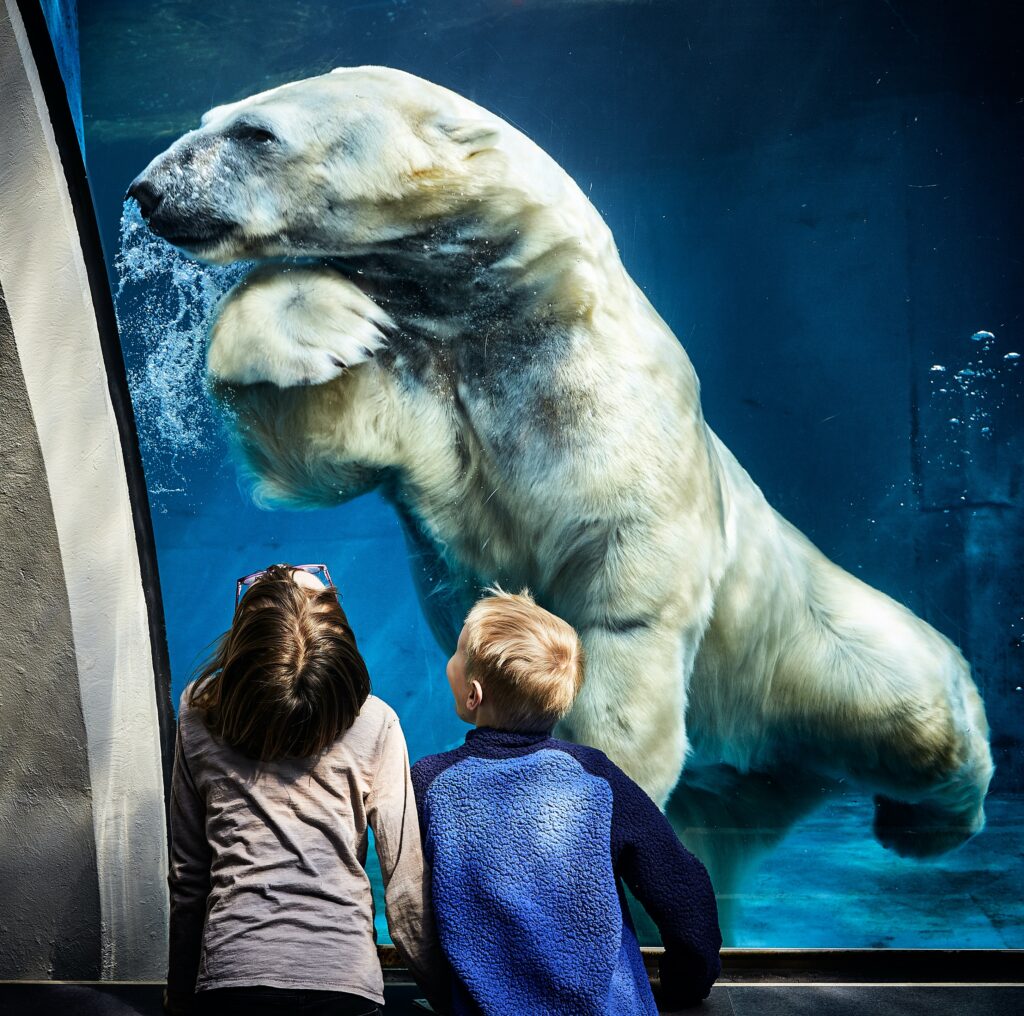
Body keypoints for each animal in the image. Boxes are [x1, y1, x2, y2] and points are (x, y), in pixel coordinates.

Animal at [128, 66, 993, 928]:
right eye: (211, 115)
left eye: (255, 132)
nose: (146, 190)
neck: (494, 307)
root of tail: (745, 769)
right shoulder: (427, 382)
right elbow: (321, 442)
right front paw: (317, 320)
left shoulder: (606, 402)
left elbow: (625, 596)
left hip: (795, 640)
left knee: (912, 706)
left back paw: (924, 821)